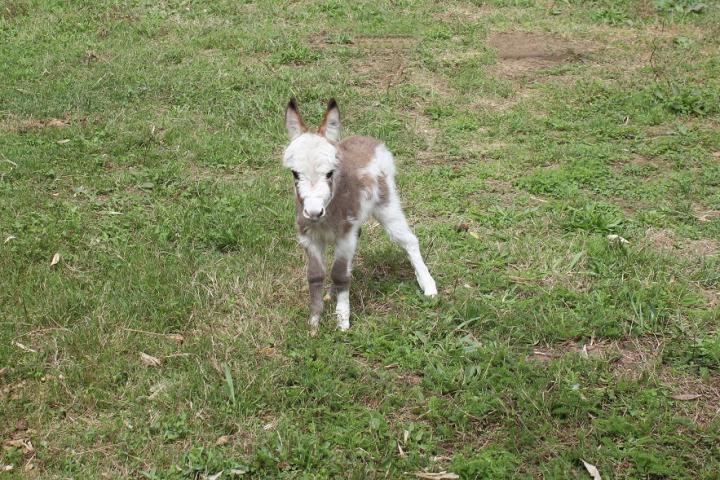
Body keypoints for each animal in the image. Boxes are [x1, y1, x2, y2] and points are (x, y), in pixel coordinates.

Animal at [284, 97, 436, 330]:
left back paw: (428, 286)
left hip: (387, 205)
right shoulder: (309, 237)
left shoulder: (345, 234)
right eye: (295, 173)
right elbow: (315, 275)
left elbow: (338, 273)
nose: (314, 211)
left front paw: (342, 321)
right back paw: (332, 292)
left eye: (330, 173)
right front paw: (314, 322)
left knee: (409, 240)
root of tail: (370, 141)